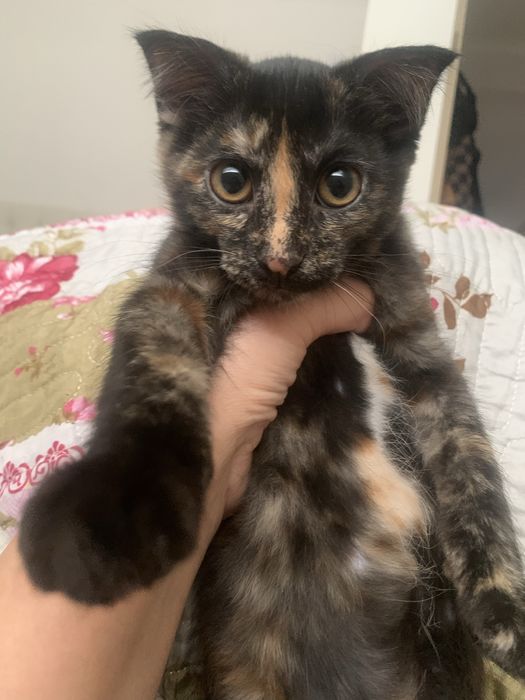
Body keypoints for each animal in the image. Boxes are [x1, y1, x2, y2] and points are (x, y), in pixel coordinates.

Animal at [19, 31, 525, 698]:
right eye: (231, 181)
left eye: (340, 185)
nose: (281, 258)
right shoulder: (173, 291)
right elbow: (153, 369)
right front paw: (120, 510)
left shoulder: (422, 349)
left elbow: (473, 464)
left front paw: (503, 611)